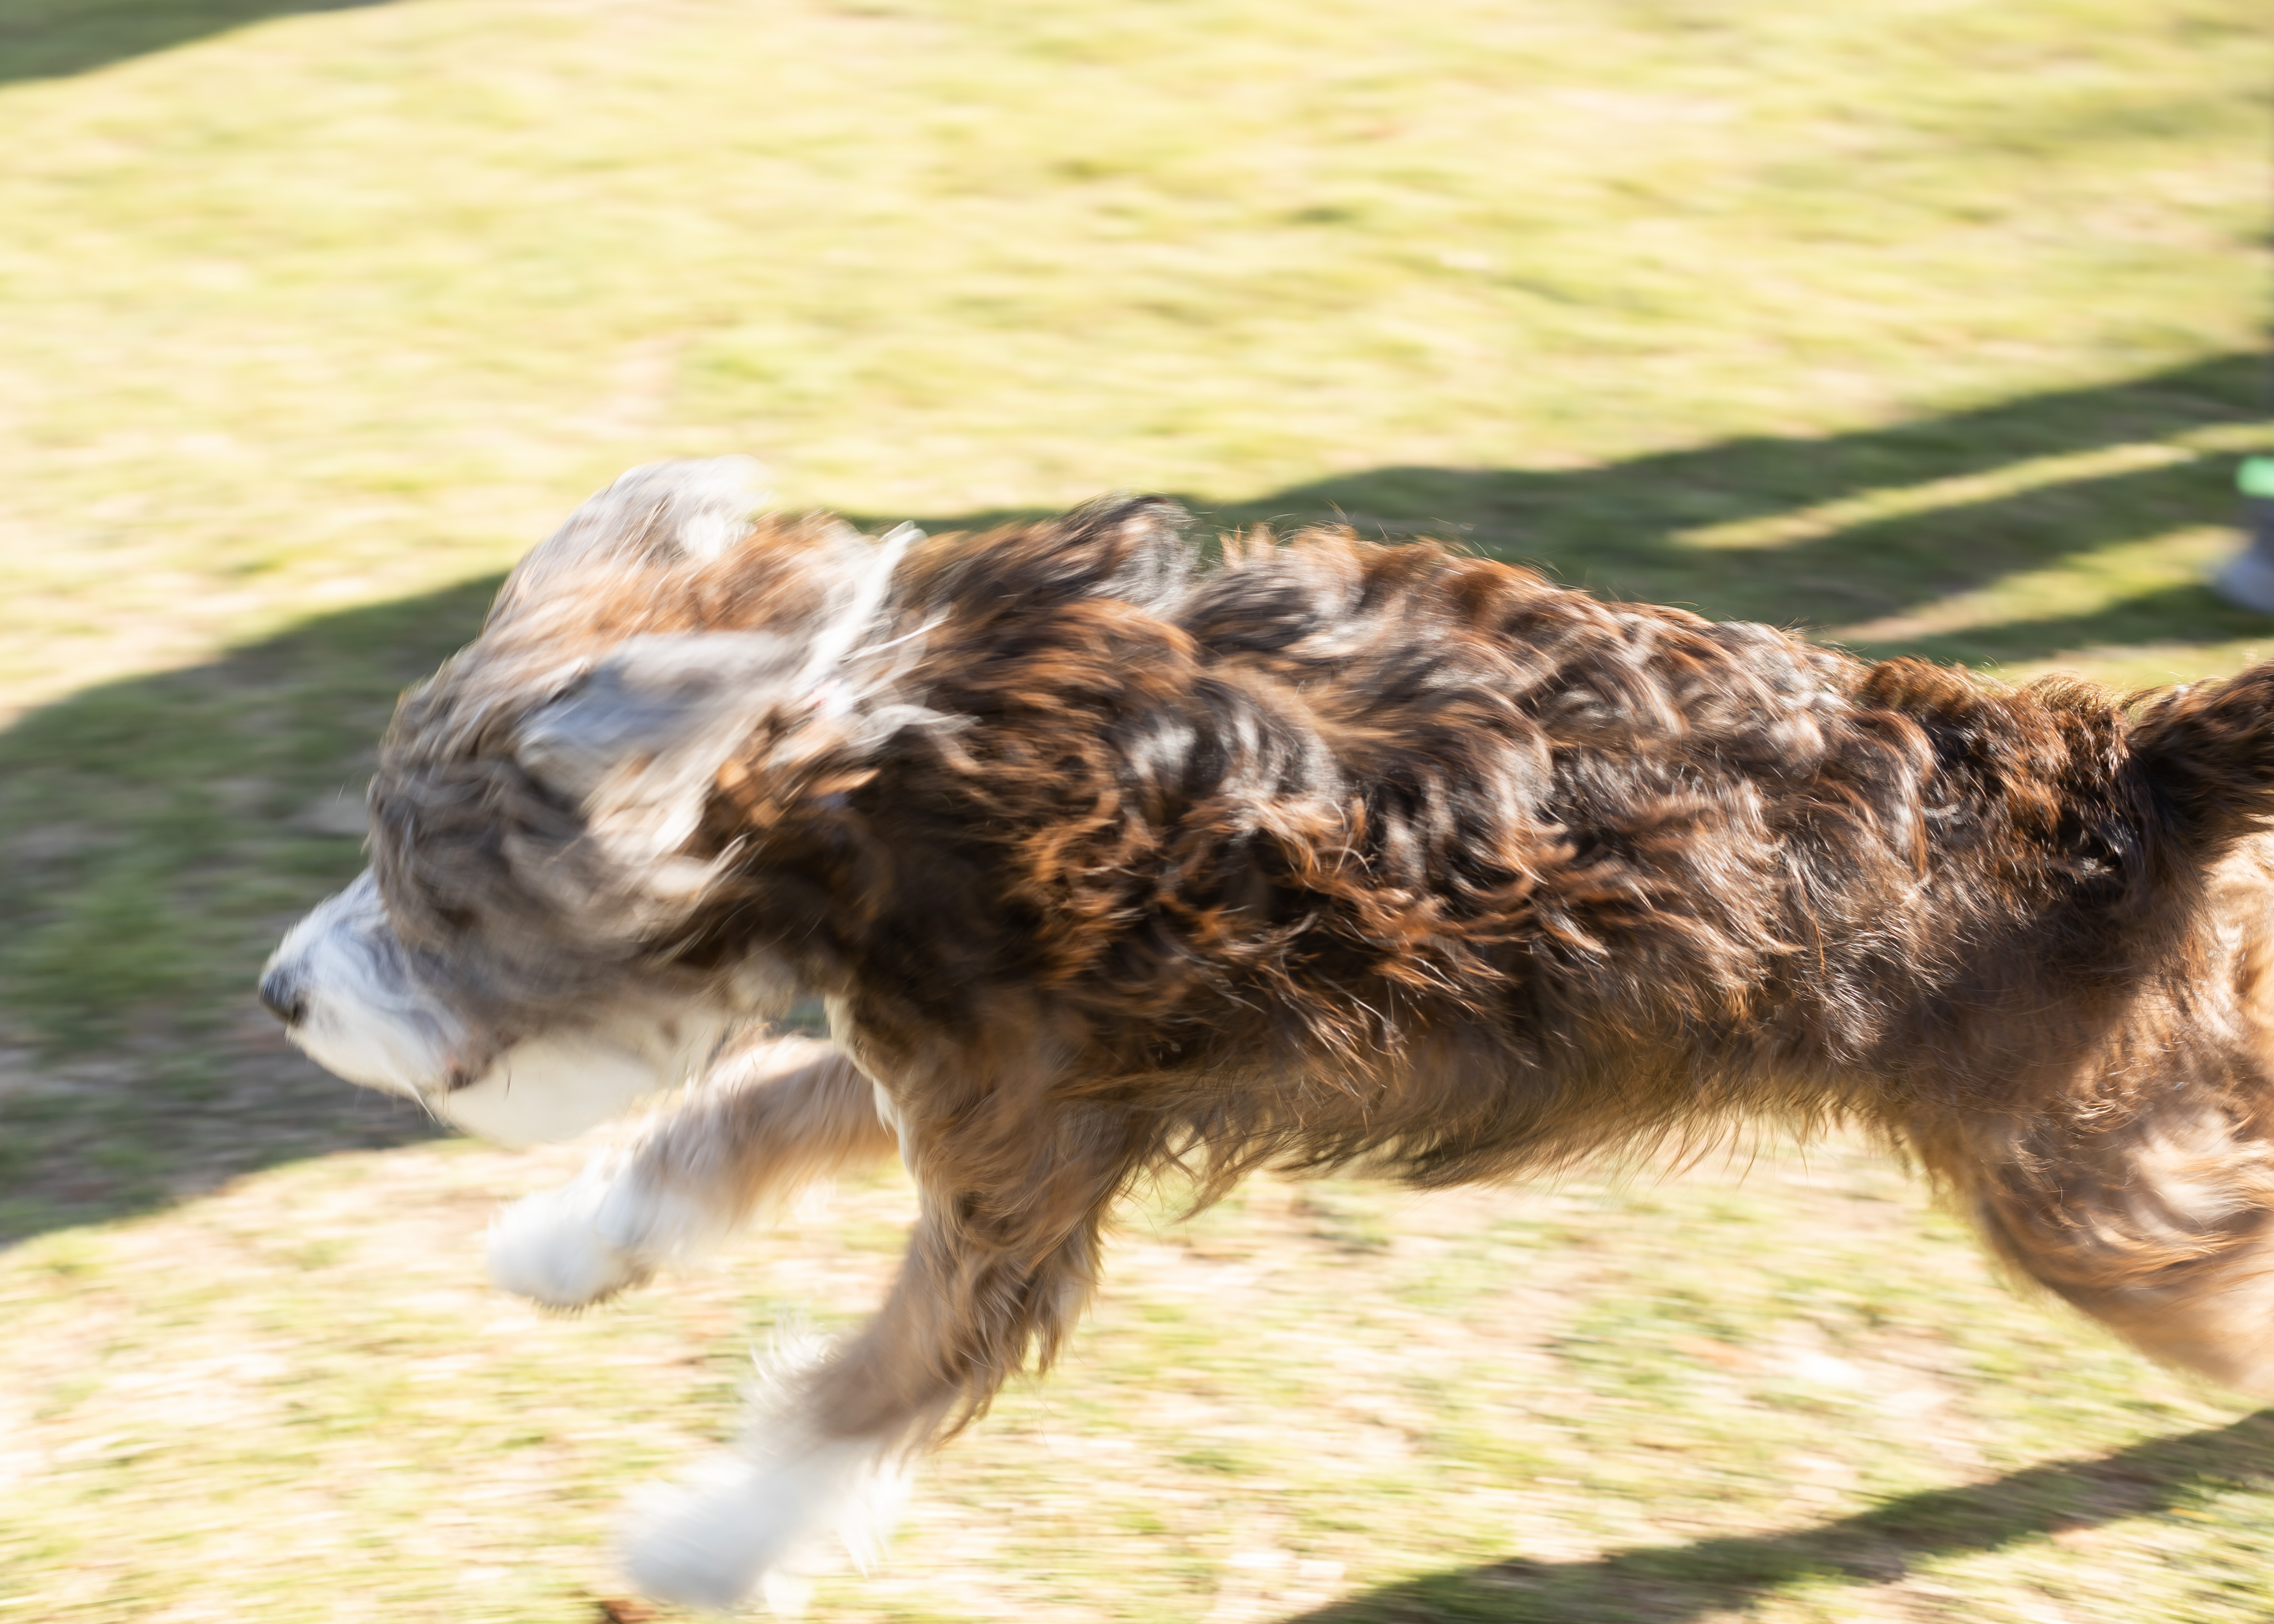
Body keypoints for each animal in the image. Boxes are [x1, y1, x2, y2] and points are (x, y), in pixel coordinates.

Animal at [261, 457, 2274, 1608]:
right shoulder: (992, 1083)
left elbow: (863, 1387)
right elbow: (747, 1113)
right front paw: (571, 1243)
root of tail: (2127, 758)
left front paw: (694, 1547)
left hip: (2088, 1188)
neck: (879, 762)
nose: (282, 992)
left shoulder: (1013, 1183)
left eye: (431, 889)